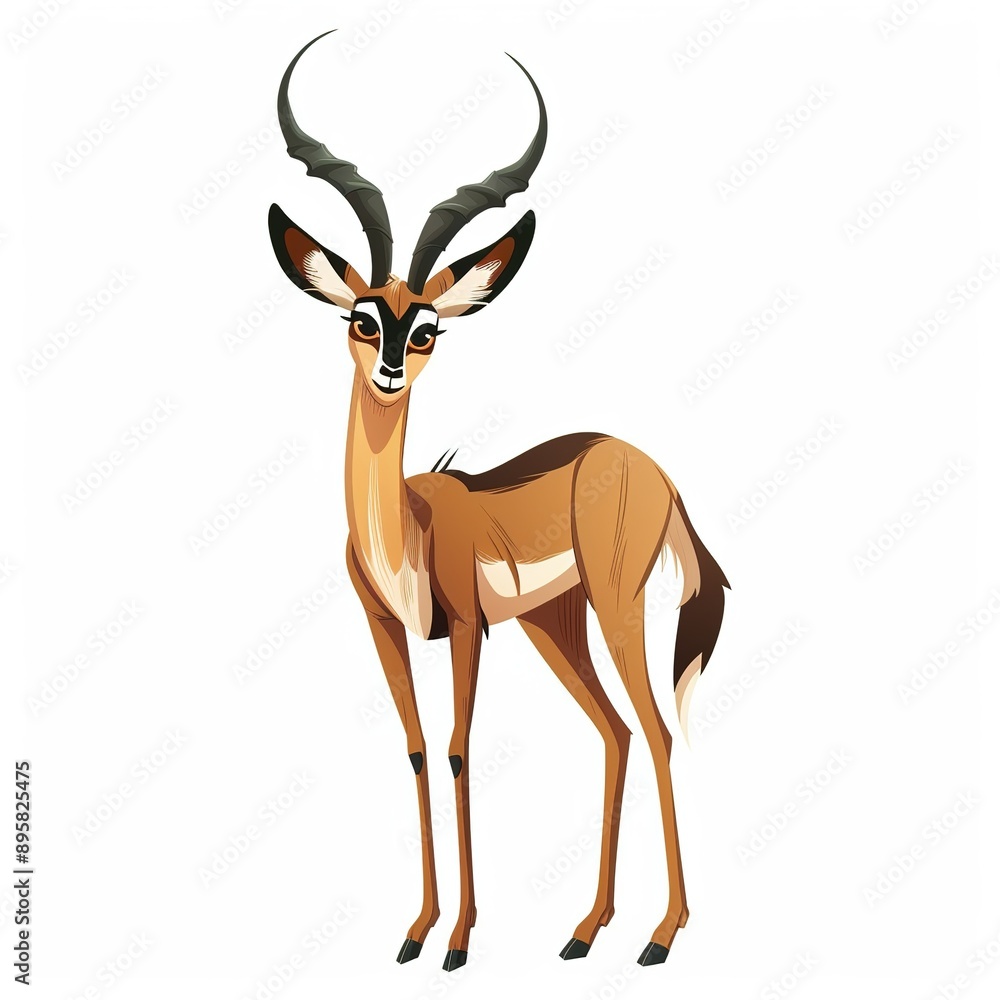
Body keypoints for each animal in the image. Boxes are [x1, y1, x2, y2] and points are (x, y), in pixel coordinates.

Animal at [268, 30, 730, 971]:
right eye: (362, 317)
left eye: (428, 326)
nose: (391, 368)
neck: (403, 530)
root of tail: (648, 466)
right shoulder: (385, 629)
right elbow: (415, 751)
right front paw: (414, 932)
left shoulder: (468, 630)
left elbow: (456, 752)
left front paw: (458, 941)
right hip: (557, 623)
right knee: (616, 733)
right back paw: (585, 931)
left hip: (615, 608)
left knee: (657, 729)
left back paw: (660, 936)